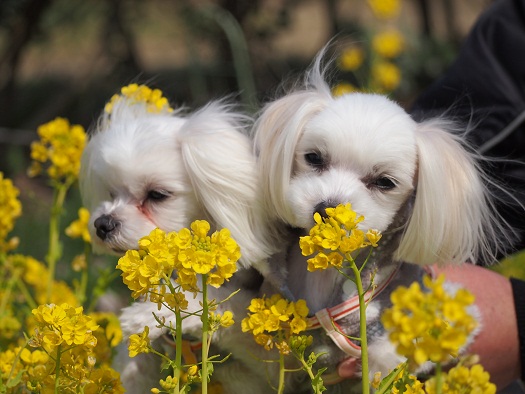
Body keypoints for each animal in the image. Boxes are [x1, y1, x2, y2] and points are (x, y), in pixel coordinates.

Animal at [80, 94, 276, 394]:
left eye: (157, 194)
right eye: (112, 193)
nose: (103, 224)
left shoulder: (264, 367)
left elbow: (229, 305)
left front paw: (144, 315)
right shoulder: (140, 365)